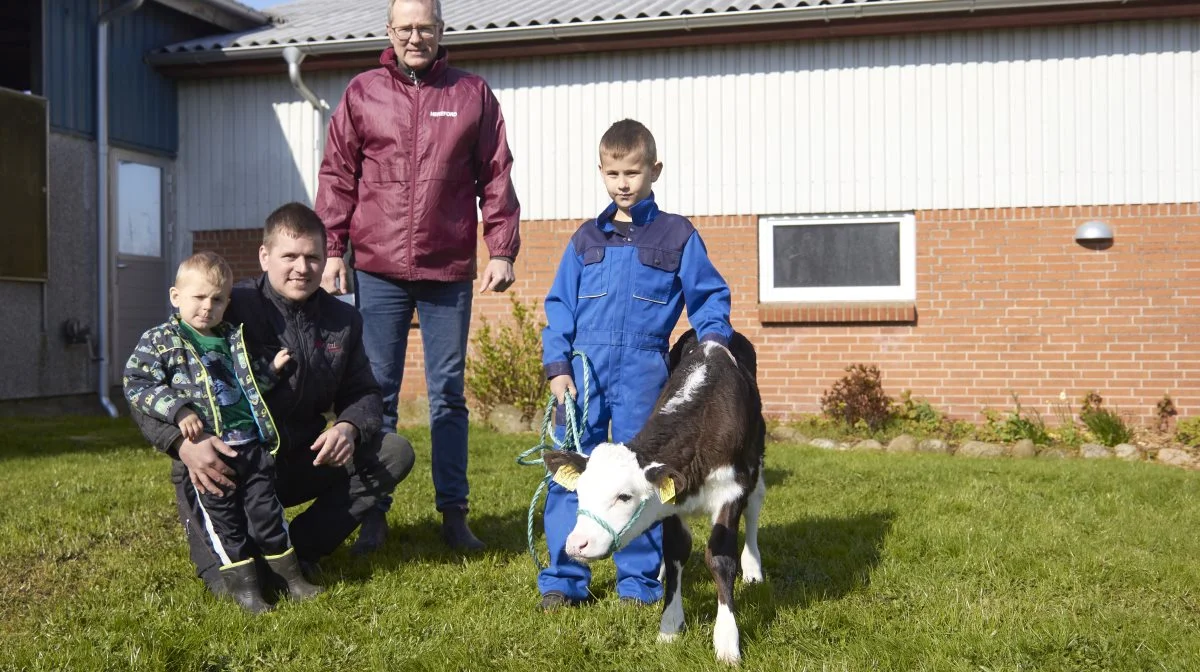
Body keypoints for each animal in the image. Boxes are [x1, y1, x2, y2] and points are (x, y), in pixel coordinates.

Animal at [542, 328, 763, 662]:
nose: (576, 544)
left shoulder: (732, 490)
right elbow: (674, 554)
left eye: (624, 496)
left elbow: (720, 559)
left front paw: (727, 641)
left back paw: (753, 568)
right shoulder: (671, 503)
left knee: (754, 510)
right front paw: (669, 627)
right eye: (580, 493)